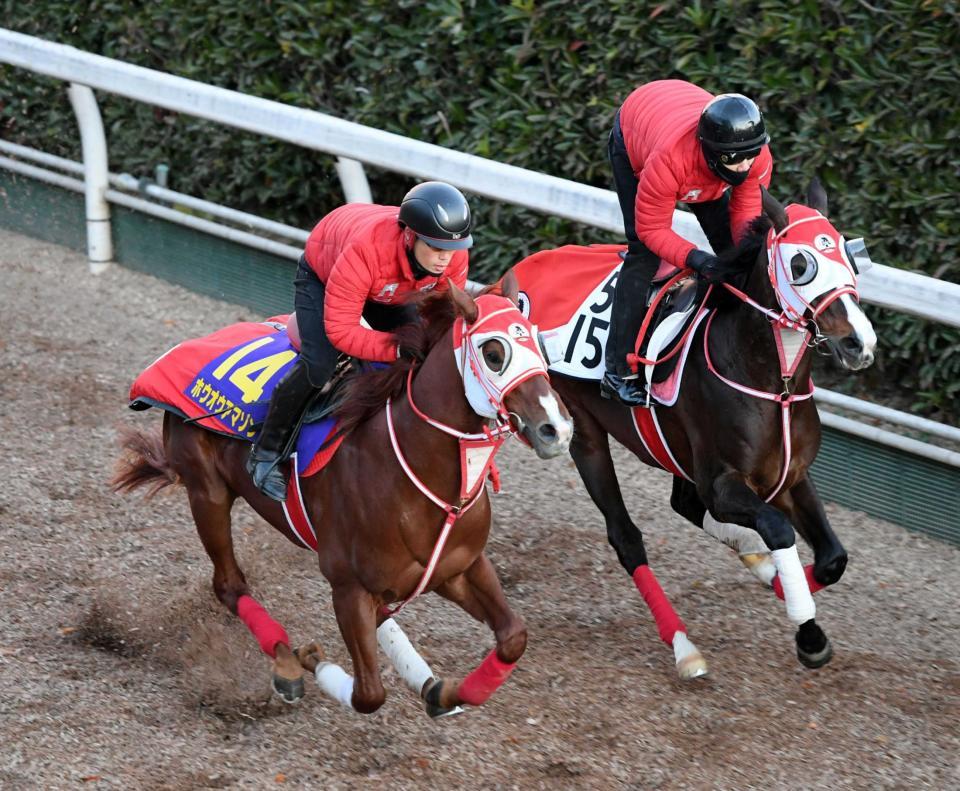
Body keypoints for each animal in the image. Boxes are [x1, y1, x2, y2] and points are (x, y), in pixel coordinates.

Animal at [116, 278, 572, 716]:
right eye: (493, 352)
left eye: (539, 341)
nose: (557, 429)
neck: (416, 472)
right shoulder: (348, 587)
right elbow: (368, 694)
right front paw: (311, 660)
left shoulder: (458, 568)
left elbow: (513, 637)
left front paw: (441, 691)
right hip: (206, 493)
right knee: (229, 585)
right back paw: (286, 663)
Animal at [510, 181, 876, 680]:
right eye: (802, 265)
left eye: (851, 258)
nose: (860, 342)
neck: (773, 384)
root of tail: (517, 276)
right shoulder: (722, 482)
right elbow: (778, 530)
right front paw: (808, 633)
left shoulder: (789, 475)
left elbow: (832, 559)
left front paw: (784, 588)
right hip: (580, 431)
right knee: (626, 537)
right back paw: (684, 647)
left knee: (683, 503)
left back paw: (755, 563)